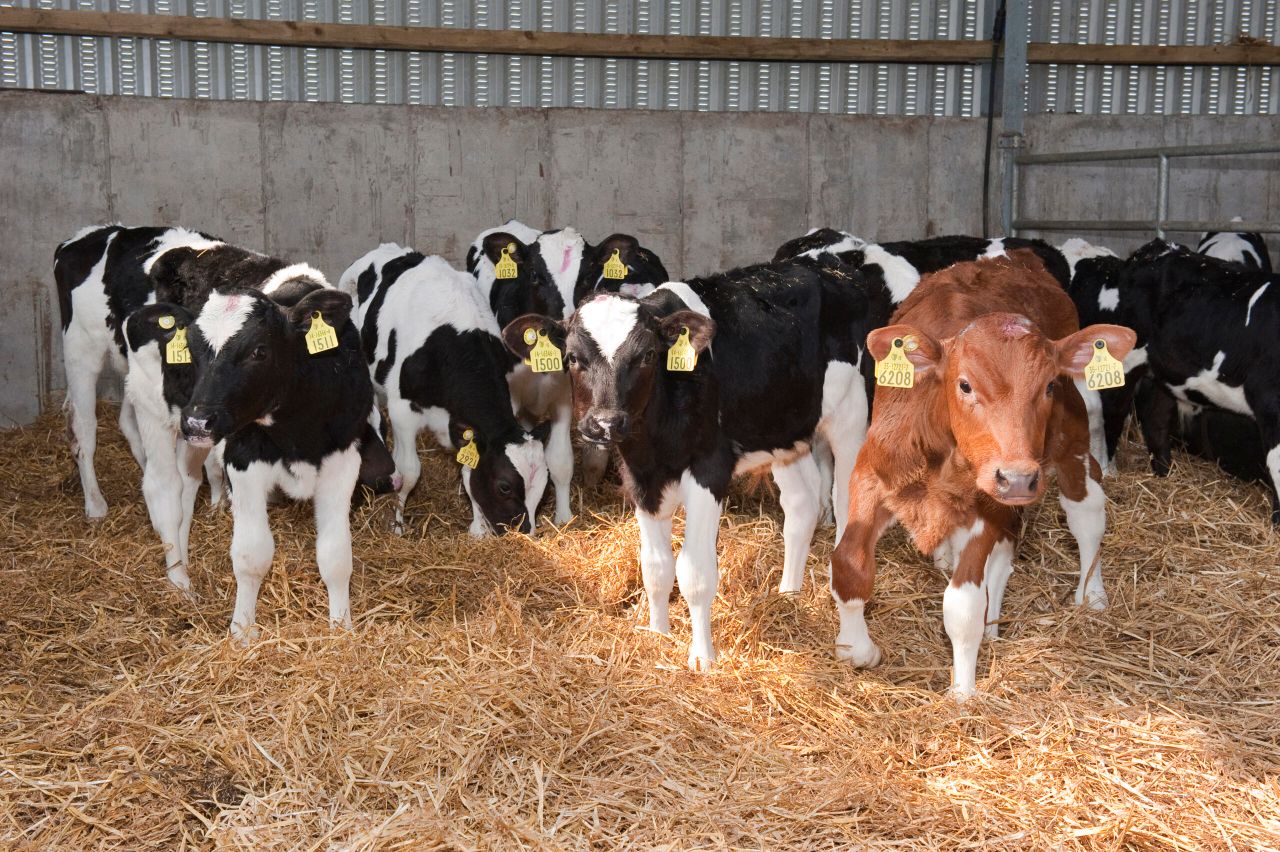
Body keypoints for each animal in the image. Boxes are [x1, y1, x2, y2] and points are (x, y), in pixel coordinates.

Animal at [339, 244, 550, 537]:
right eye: (504, 487)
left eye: (544, 487)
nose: (525, 532)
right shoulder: (402, 410)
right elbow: (409, 471)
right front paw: (397, 524)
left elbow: (468, 470)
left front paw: (478, 530)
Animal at [466, 221, 670, 515]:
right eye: (535, 275)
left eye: (586, 277)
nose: (560, 326)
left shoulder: (564, 395)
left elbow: (560, 460)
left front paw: (563, 516)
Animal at [502, 258, 872, 671]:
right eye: (572, 358)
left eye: (647, 356)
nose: (605, 423)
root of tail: (830, 266)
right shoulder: (640, 478)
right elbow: (656, 566)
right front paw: (657, 634)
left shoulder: (709, 470)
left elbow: (694, 573)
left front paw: (702, 657)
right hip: (783, 433)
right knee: (801, 507)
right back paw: (788, 595)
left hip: (850, 417)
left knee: (846, 513)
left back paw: (853, 640)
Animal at [828, 251, 1135, 699]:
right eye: (965, 385)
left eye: (1048, 386)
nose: (1019, 477)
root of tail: (1017, 257)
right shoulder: (872, 474)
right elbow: (849, 564)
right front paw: (856, 648)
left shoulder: (986, 506)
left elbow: (962, 607)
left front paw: (962, 691)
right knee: (1006, 550)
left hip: (1070, 439)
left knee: (1086, 514)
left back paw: (1091, 596)